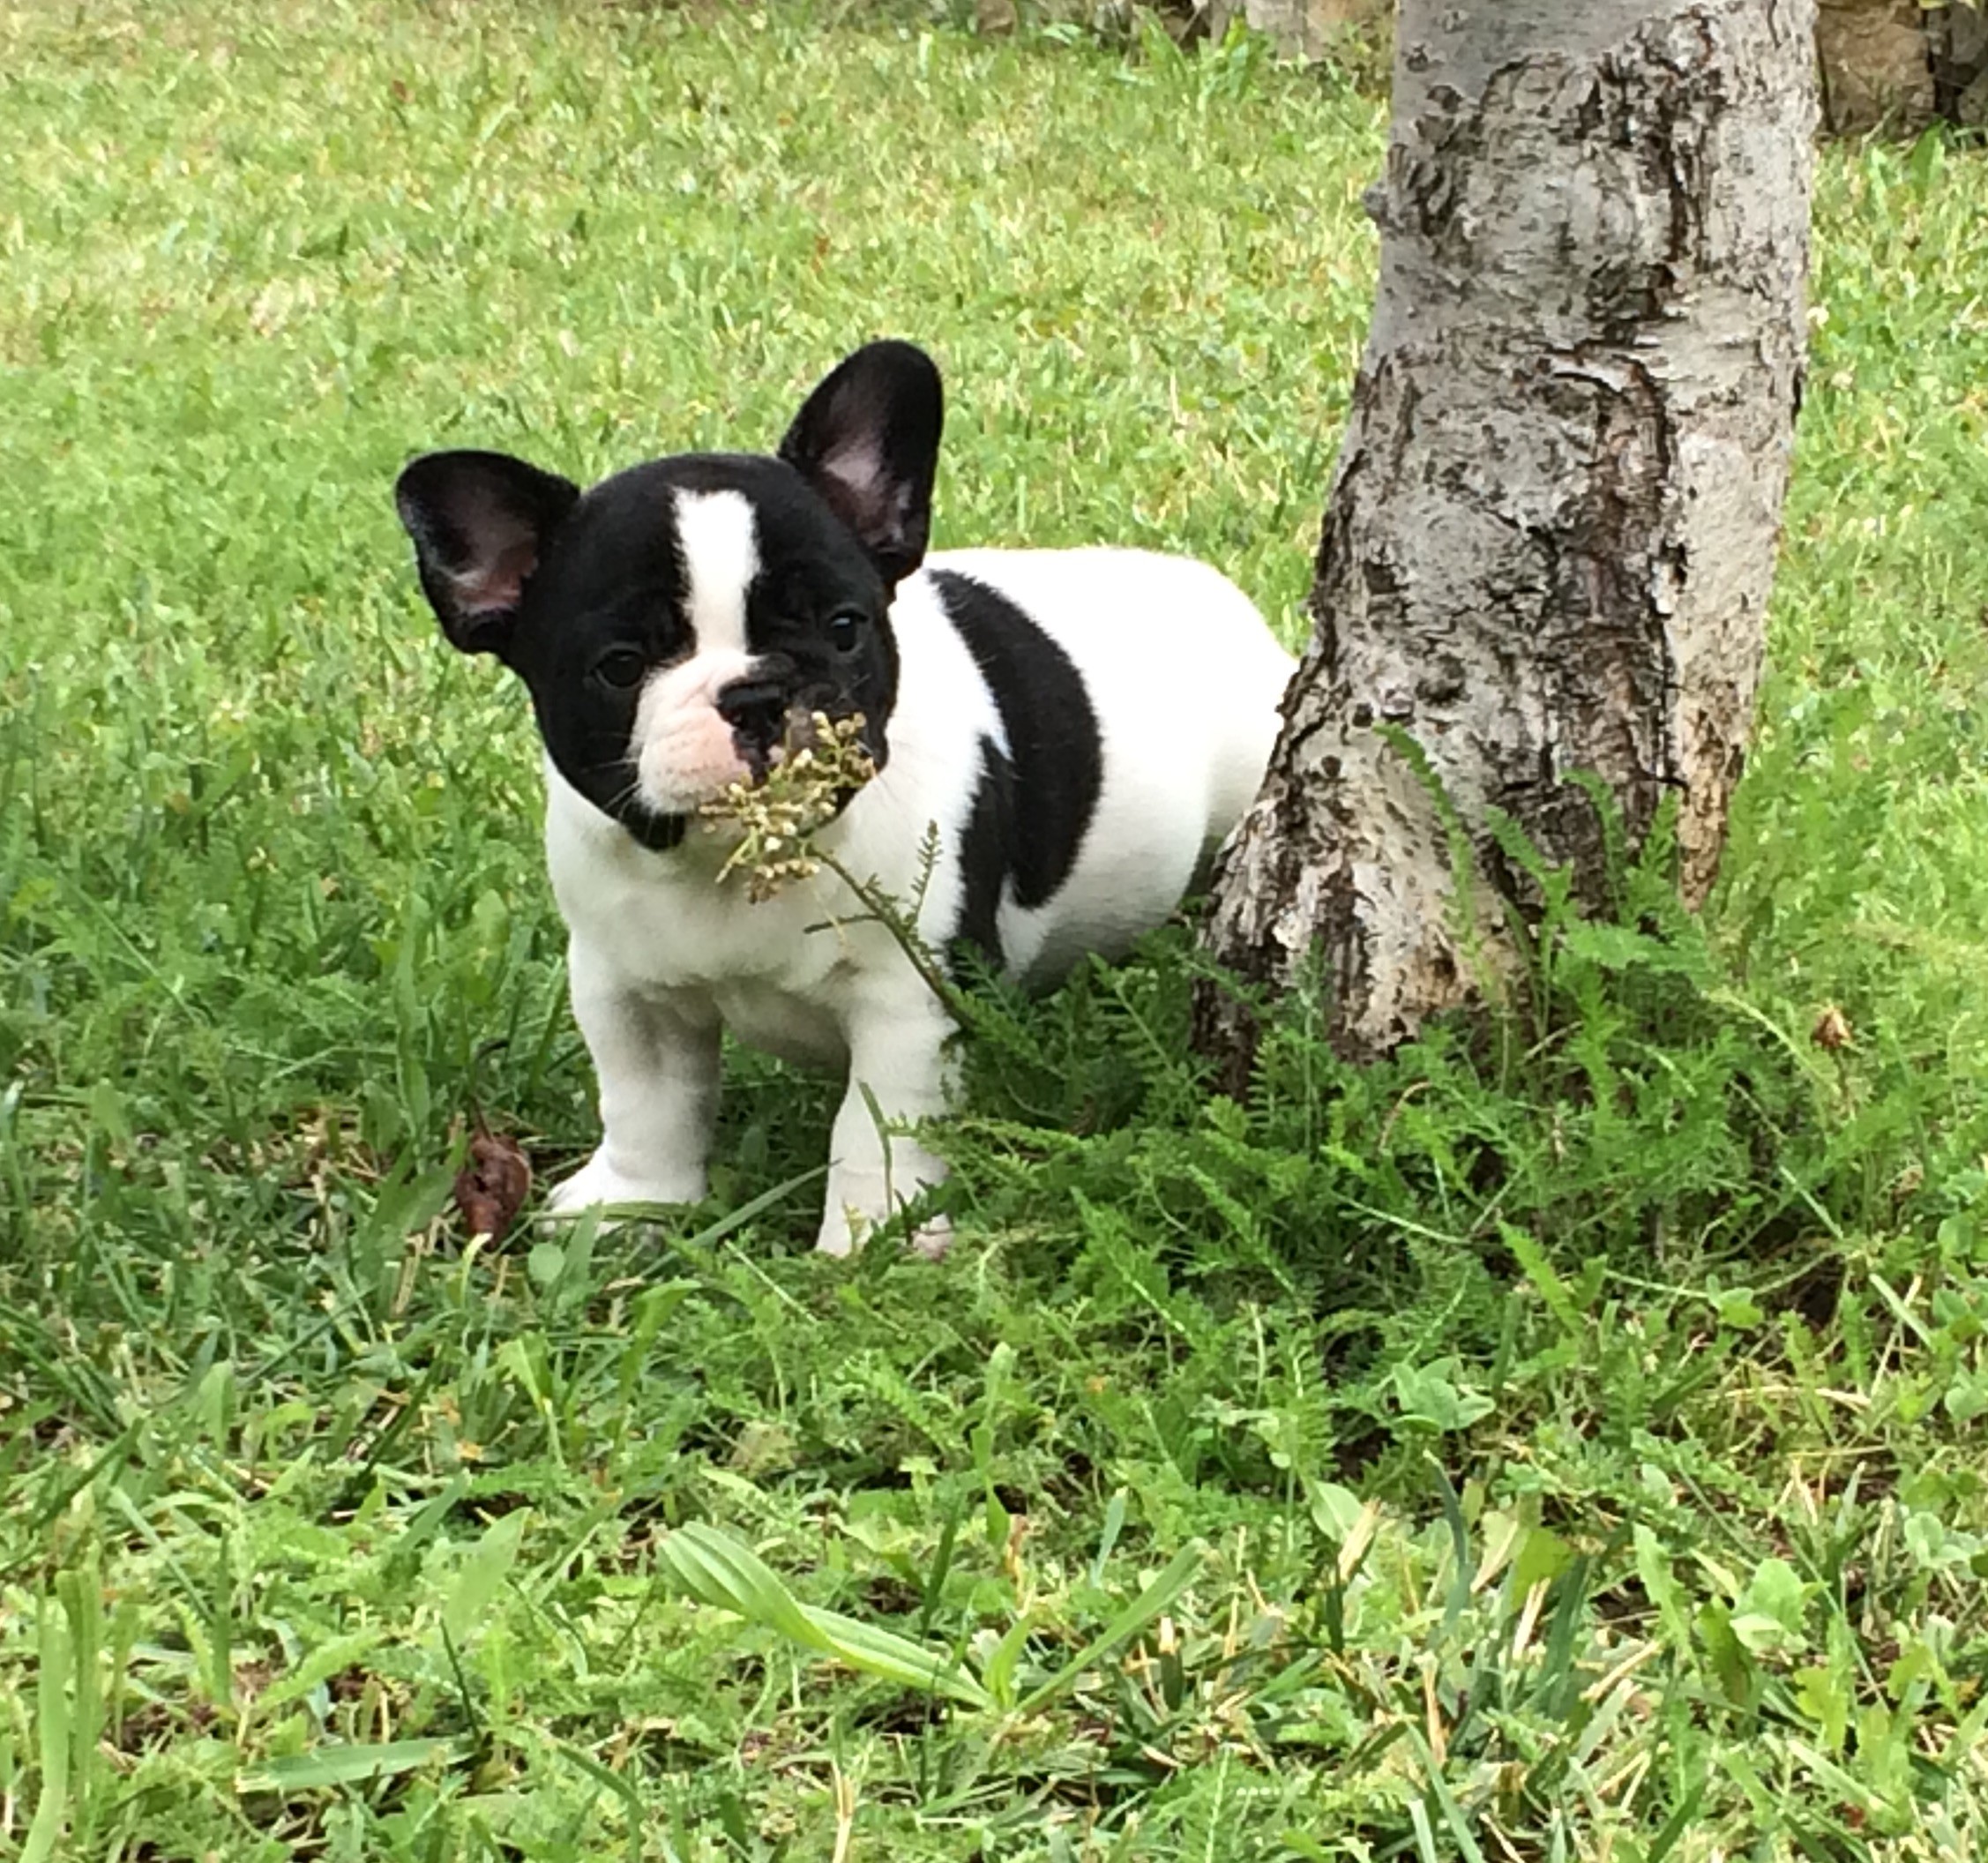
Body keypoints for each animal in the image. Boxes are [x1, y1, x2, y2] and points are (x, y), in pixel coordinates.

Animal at [392, 343, 1288, 1256]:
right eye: (619, 665)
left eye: (846, 627)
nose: (758, 695)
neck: (736, 862)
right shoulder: (624, 983)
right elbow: (646, 1102)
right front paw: (634, 1203)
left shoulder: (910, 1001)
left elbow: (876, 1128)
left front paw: (872, 1239)